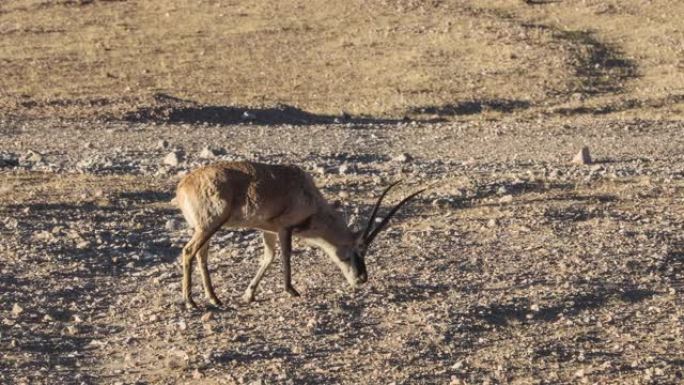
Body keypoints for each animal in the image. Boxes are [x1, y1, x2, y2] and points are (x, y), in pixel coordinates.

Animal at [175, 160, 422, 308]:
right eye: (356, 250)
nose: (361, 279)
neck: (309, 194)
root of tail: (183, 185)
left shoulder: (267, 230)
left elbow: (268, 257)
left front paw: (249, 294)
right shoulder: (285, 228)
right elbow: (285, 256)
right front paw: (291, 290)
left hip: (207, 228)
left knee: (201, 255)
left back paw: (214, 298)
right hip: (209, 225)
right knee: (188, 251)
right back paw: (190, 301)